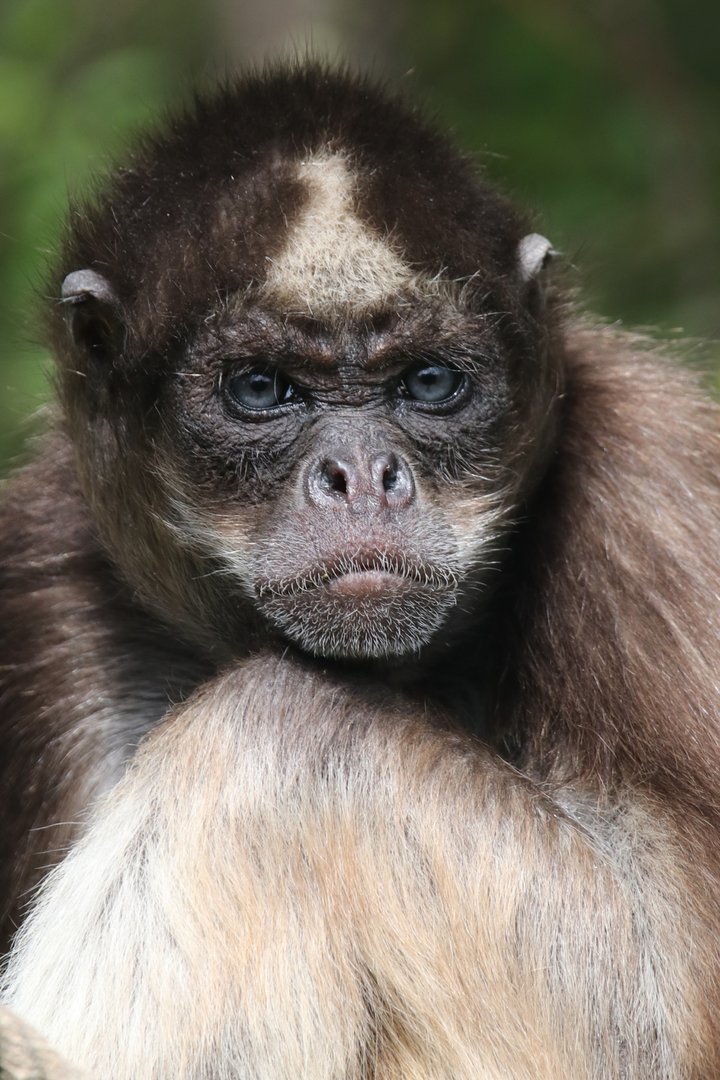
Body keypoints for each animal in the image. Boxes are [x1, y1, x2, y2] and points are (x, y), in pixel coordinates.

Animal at [1, 60, 720, 1078]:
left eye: (429, 383)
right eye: (261, 389)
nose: (362, 475)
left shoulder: (646, 489)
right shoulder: (42, 578)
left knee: (281, 722)